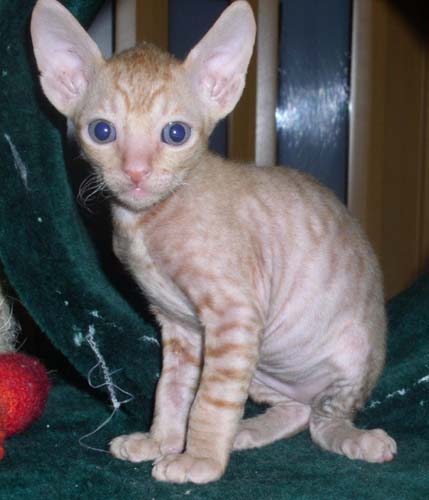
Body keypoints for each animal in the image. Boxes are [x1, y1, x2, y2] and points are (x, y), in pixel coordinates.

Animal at [31, 0, 397, 484]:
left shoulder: (234, 315)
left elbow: (209, 399)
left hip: (349, 356)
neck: (146, 221)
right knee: (298, 410)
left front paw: (200, 458)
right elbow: (171, 389)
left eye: (175, 134)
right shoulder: (181, 326)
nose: (135, 172)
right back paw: (249, 430)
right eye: (102, 132)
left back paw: (352, 438)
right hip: (262, 365)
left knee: (325, 421)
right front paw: (162, 441)